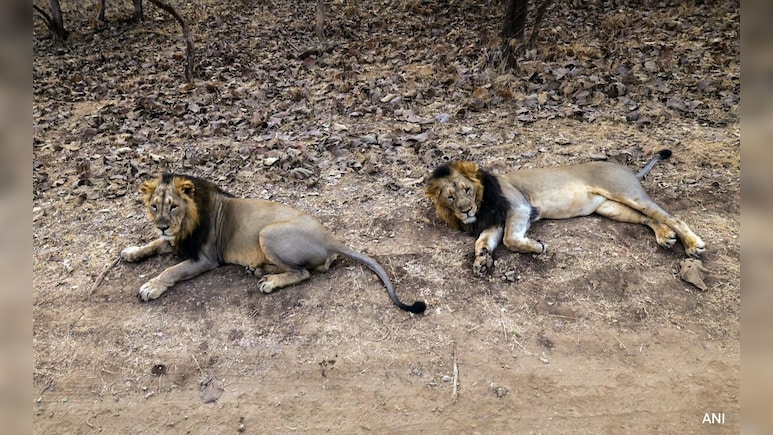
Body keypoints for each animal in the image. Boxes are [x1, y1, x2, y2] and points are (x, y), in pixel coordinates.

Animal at [121, 173, 426, 313]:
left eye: (173, 206)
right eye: (154, 206)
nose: (162, 225)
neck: (185, 224)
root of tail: (331, 239)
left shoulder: (205, 258)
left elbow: (170, 270)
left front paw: (150, 287)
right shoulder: (174, 241)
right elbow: (151, 244)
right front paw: (132, 252)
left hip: (267, 232)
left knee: (303, 273)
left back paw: (268, 281)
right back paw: (259, 270)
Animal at [425, 150, 706, 276]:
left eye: (467, 190)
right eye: (450, 197)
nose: (466, 210)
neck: (482, 204)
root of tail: (627, 169)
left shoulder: (521, 207)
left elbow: (511, 239)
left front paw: (537, 247)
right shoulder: (495, 222)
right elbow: (482, 242)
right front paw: (481, 261)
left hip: (626, 193)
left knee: (670, 216)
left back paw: (693, 244)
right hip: (611, 208)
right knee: (650, 218)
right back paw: (666, 237)